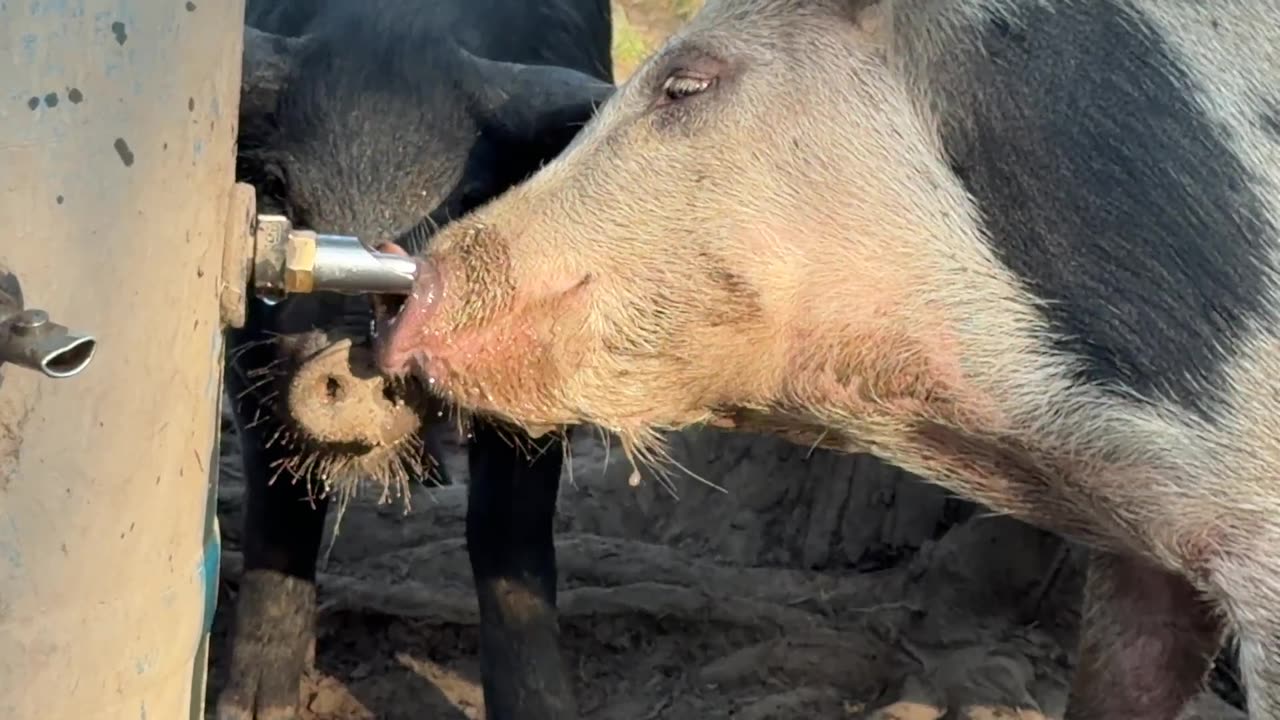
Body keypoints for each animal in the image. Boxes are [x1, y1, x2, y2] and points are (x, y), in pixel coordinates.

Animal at [217, 1, 612, 718]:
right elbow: (281, 507)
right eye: (281, 186)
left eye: (464, 201)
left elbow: (508, 533)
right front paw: (253, 708)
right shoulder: (250, 348)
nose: (355, 351)